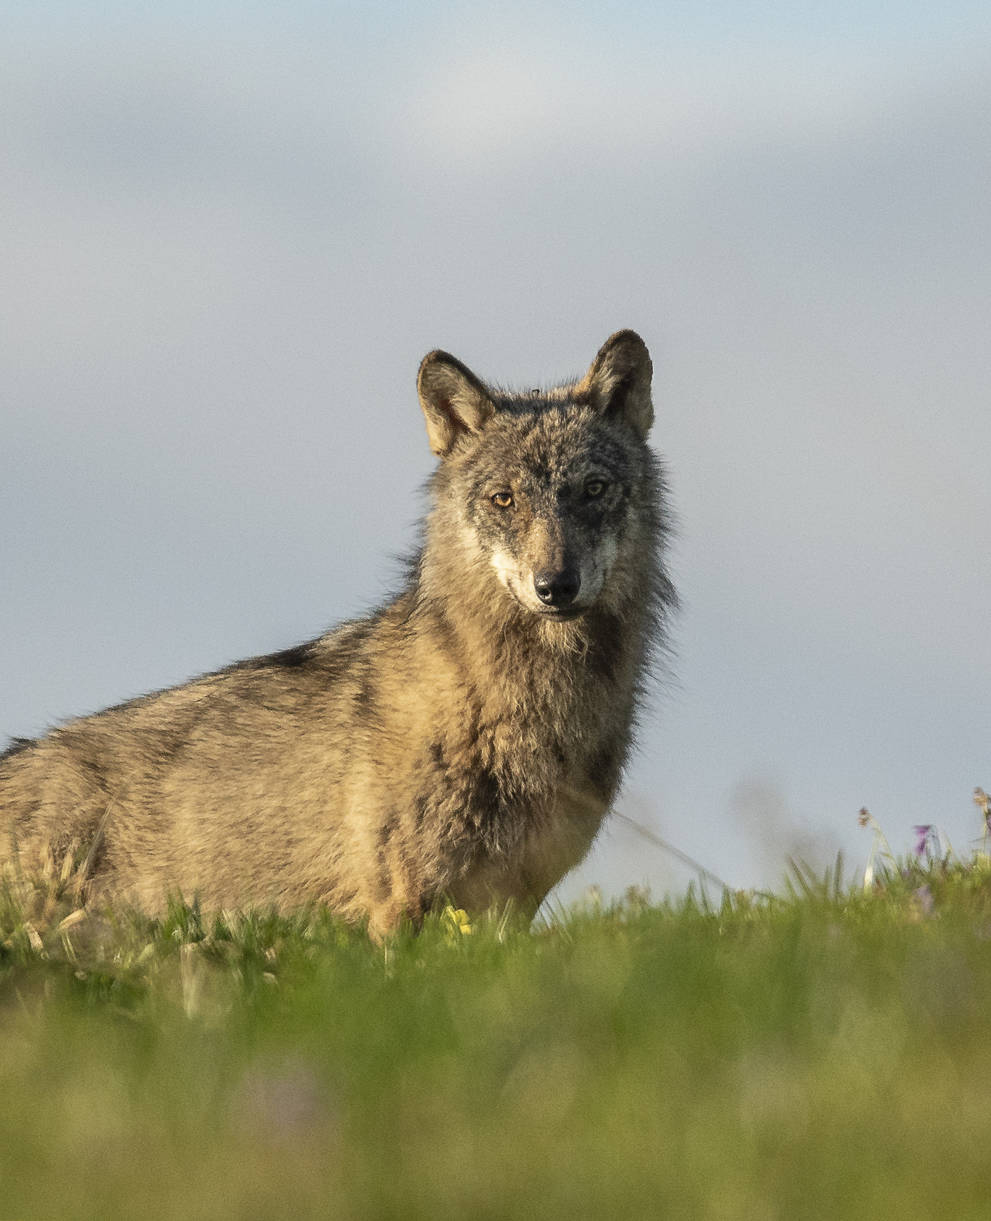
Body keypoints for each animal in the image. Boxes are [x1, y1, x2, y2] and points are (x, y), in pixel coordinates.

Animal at [0, 329, 673, 927]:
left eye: (593, 490)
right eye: (504, 499)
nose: (555, 586)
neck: (523, 712)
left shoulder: (512, 905)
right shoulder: (403, 903)